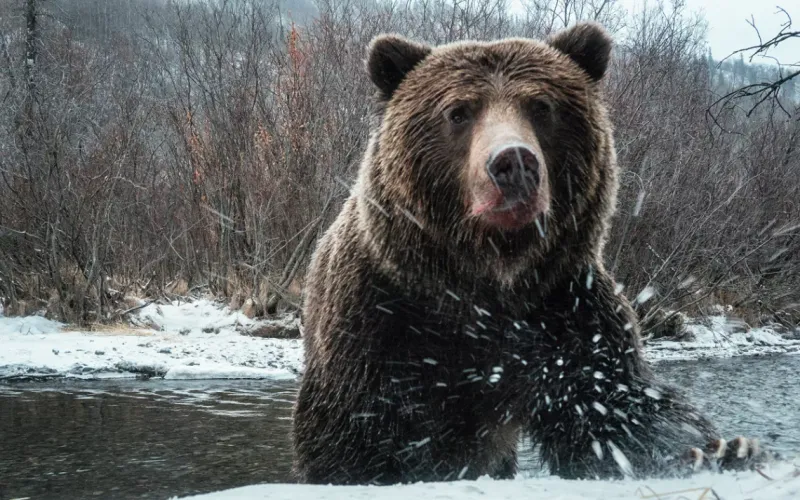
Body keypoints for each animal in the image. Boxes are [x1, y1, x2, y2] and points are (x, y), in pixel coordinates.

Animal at [292, 23, 764, 484]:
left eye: (541, 106)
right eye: (458, 112)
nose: (513, 161)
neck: (489, 280)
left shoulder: (567, 315)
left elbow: (616, 410)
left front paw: (722, 450)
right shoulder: (384, 322)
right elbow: (361, 432)